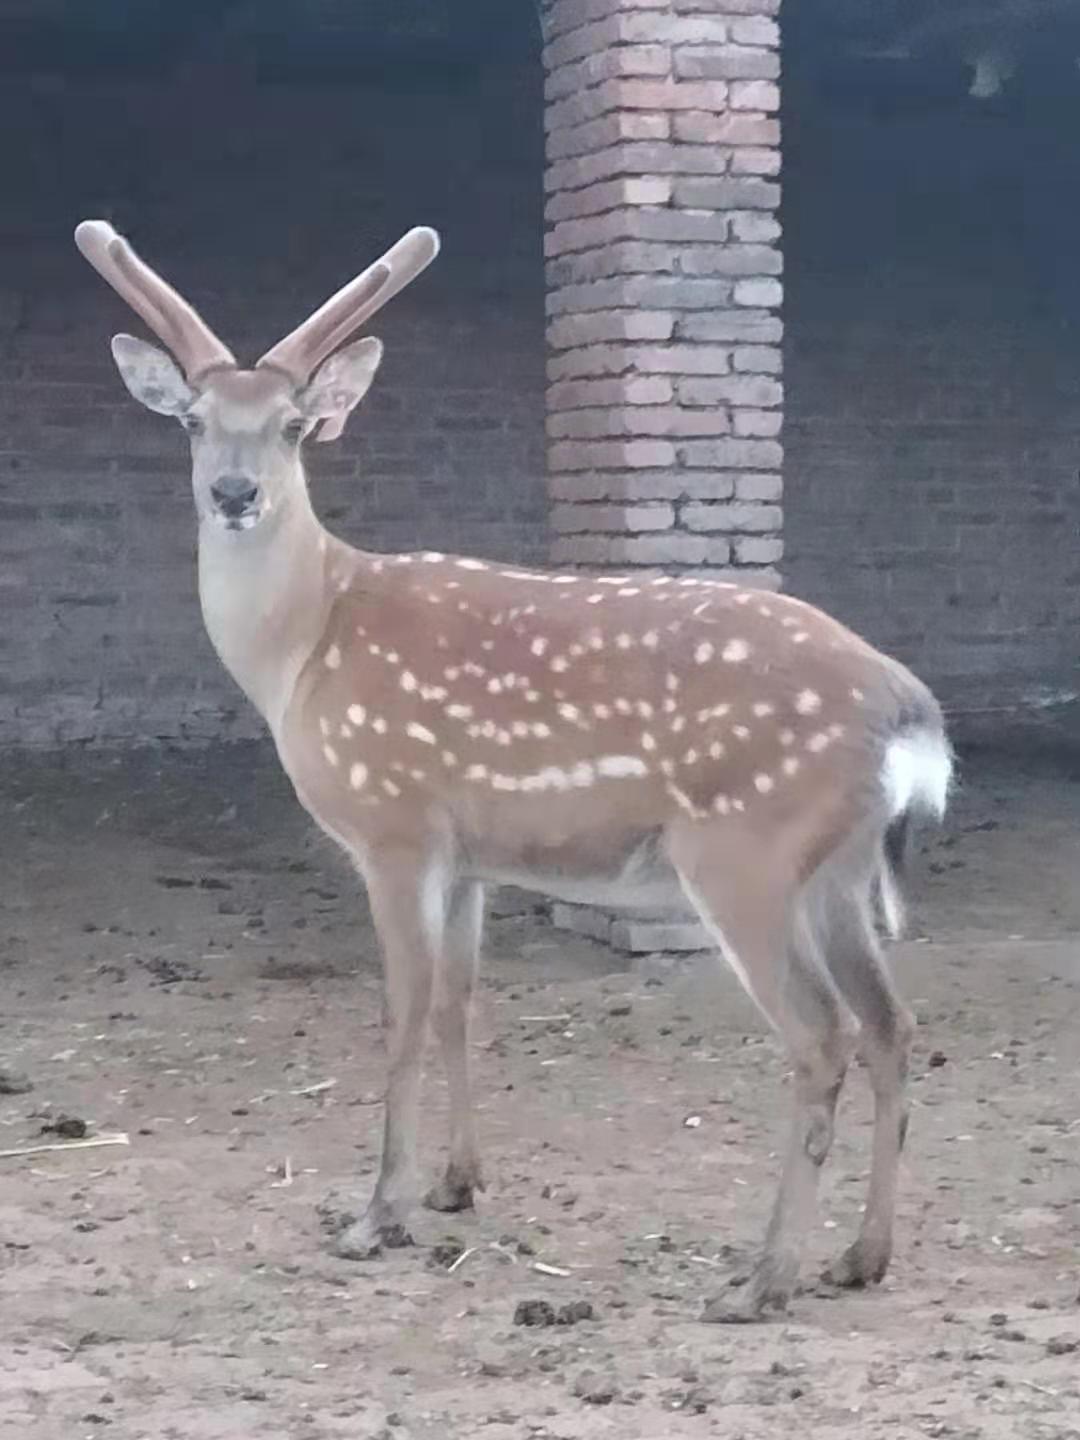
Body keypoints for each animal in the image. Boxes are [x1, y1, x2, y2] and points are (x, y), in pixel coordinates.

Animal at [75, 217, 953, 1323]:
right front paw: (457, 1184)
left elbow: (403, 1011)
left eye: (293, 426)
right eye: (193, 421)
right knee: (893, 1023)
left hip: (745, 849)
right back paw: (860, 1257)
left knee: (821, 1035)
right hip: (837, 870)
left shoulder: (394, 822)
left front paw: (377, 1213)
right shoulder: (471, 855)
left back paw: (762, 1279)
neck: (302, 646)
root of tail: (908, 710)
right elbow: (460, 1001)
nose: (235, 494)